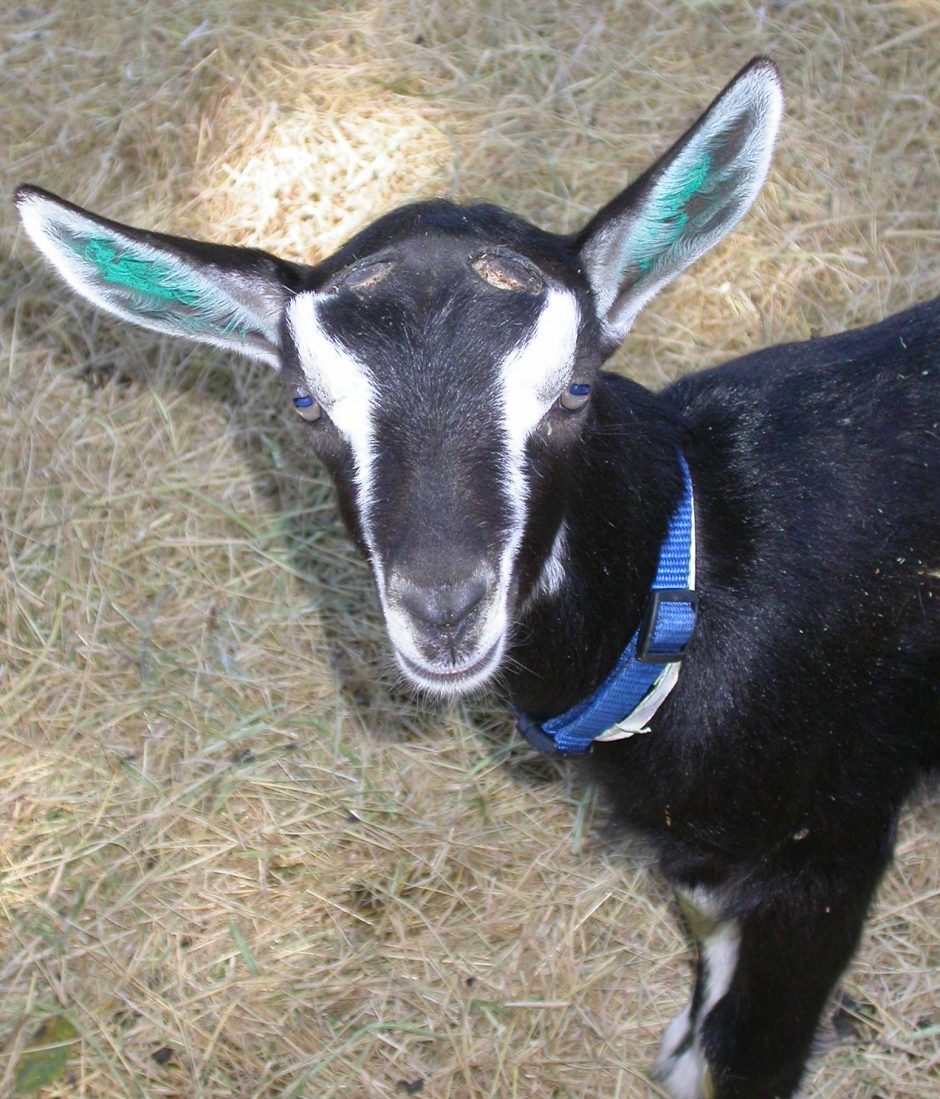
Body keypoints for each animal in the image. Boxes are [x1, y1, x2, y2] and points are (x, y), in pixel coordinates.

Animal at [16, 57, 939, 1099]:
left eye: (575, 387)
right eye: (306, 404)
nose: (444, 609)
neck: (701, 566)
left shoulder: (827, 848)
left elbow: (748, 1053)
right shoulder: (708, 860)